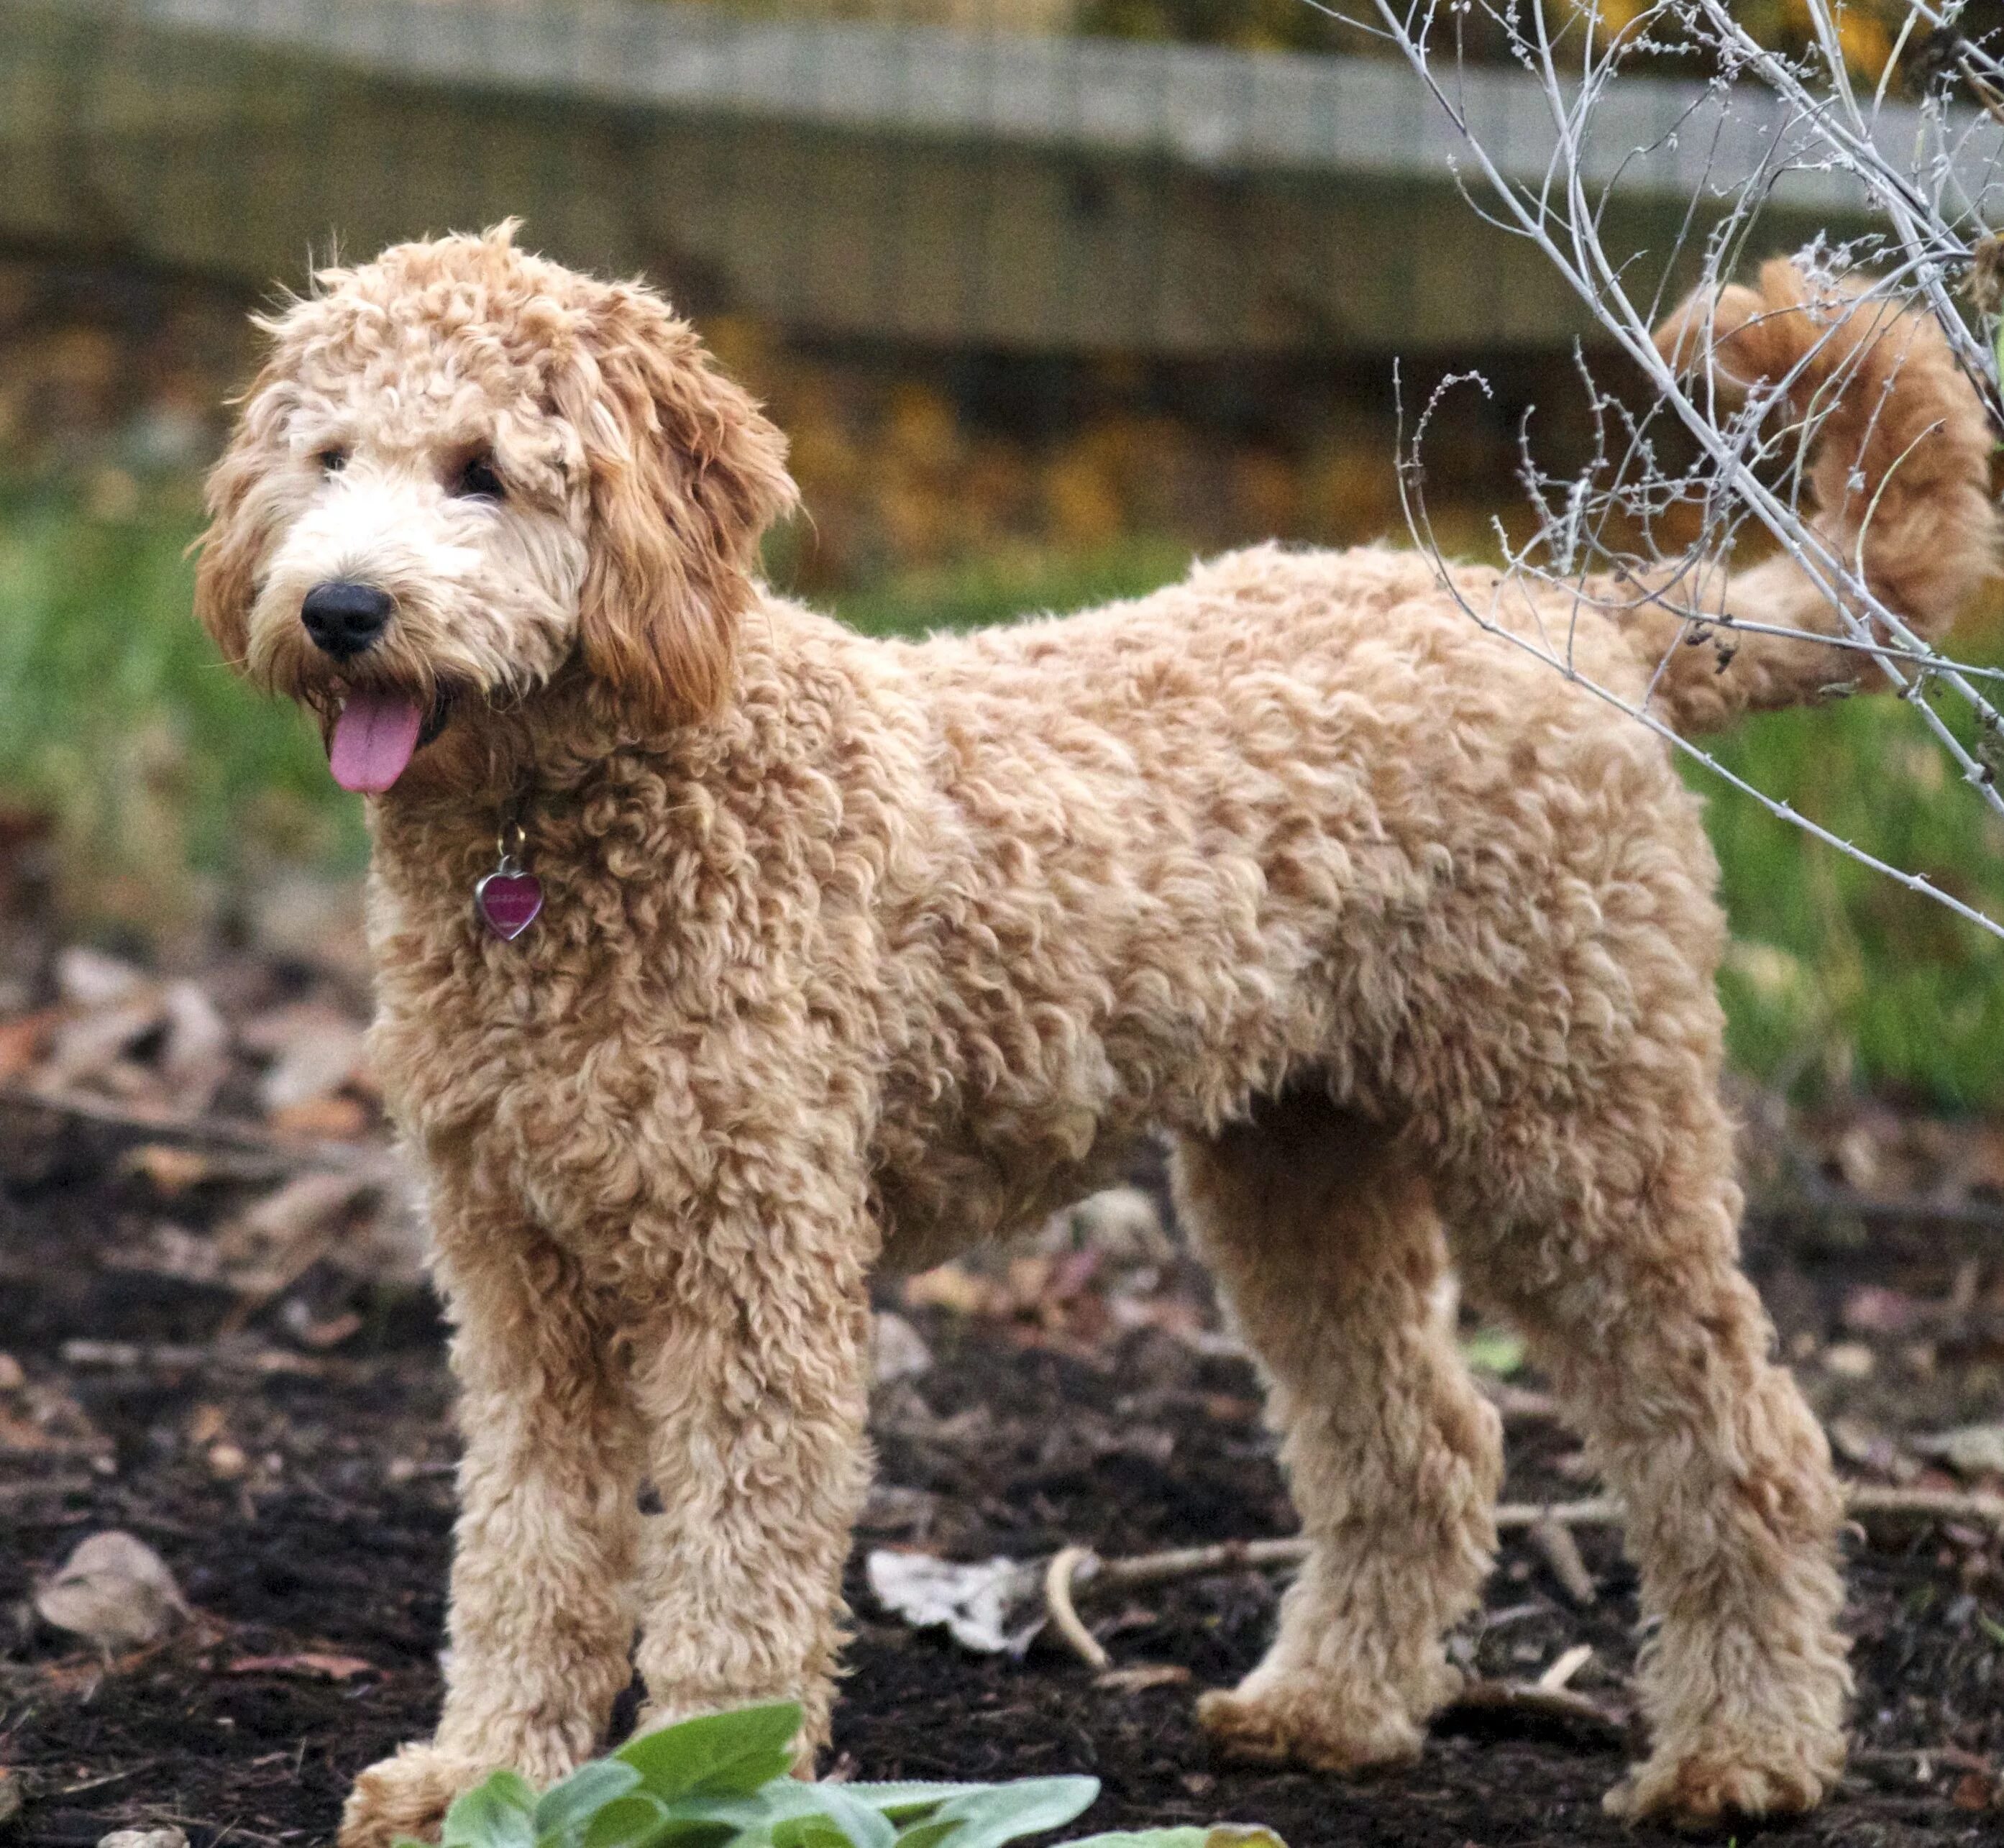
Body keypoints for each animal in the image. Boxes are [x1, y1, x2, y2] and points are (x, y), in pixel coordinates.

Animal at [195, 223, 1995, 1836]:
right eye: (327, 457)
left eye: (484, 472)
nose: (339, 608)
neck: (575, 830)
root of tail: (1587, 626)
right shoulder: (517, 1281)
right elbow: (529, 1552)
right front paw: (483, 1775)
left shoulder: (753, 1269)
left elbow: (735, 1561)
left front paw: (706, 1781)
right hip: (1298, 1161)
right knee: (1424, 1438)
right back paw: (1329, 1706)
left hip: (1573, 1121)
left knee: (1740, 1437)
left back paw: (1743, 1752)